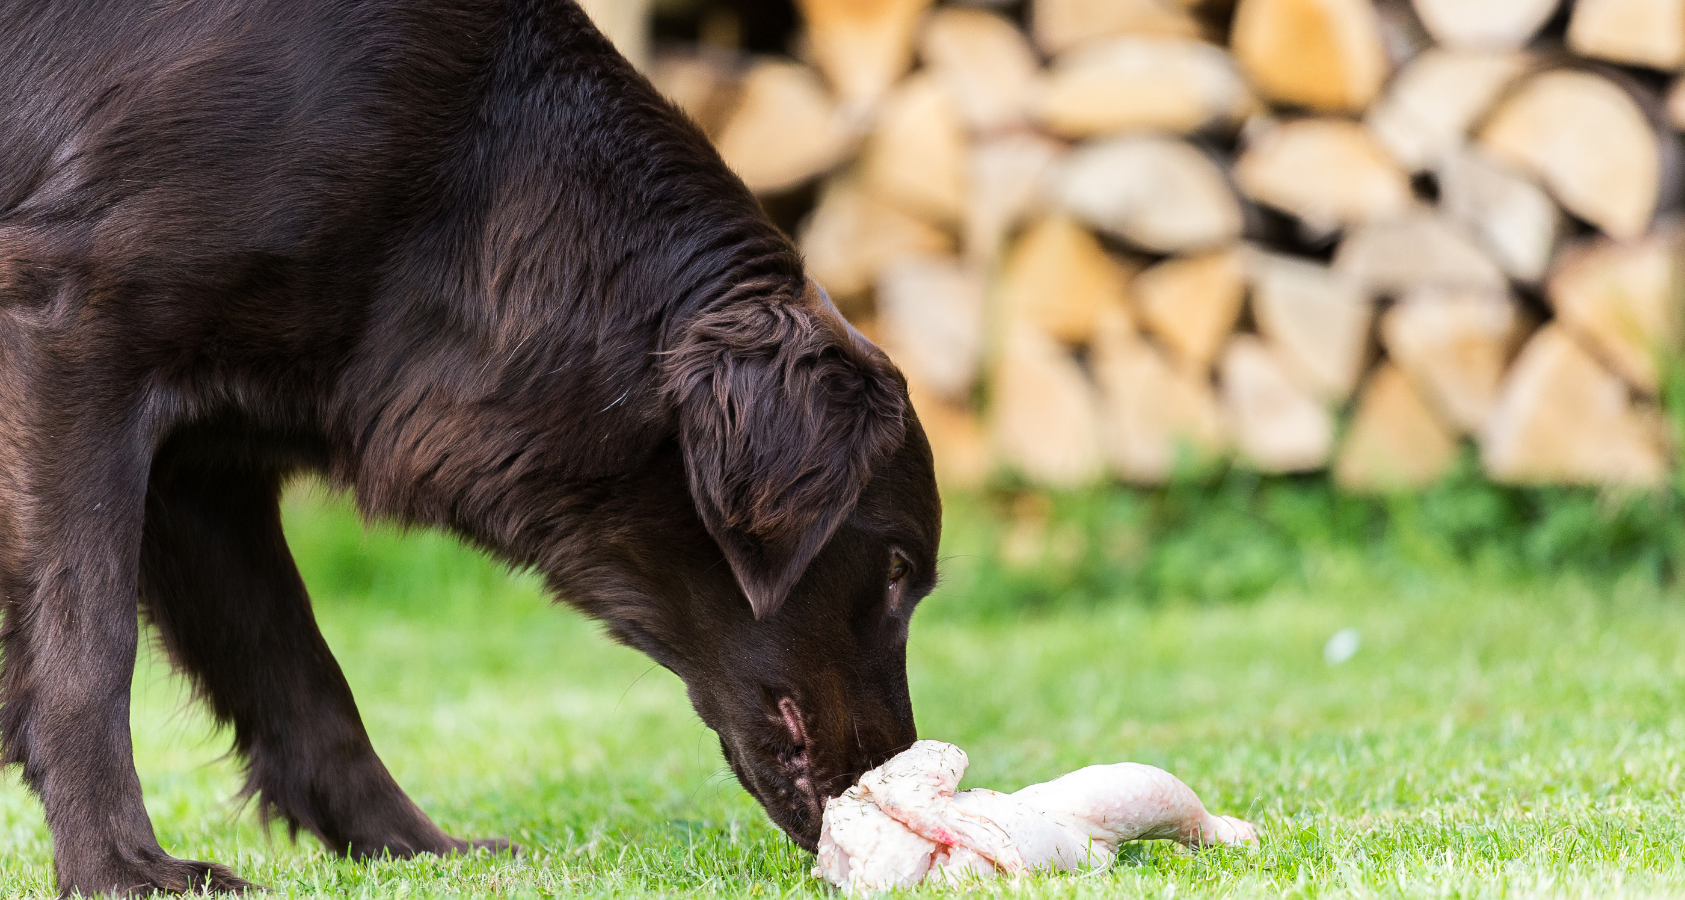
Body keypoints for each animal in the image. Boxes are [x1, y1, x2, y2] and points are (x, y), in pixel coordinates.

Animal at [0, 0, 950, 896]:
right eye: (897, 573)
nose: (889, 780)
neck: (474, 171)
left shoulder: (202, 468)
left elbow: (297, 669)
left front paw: (408, 847)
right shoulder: (76, 335)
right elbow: (90, 644)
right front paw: (117, 866)